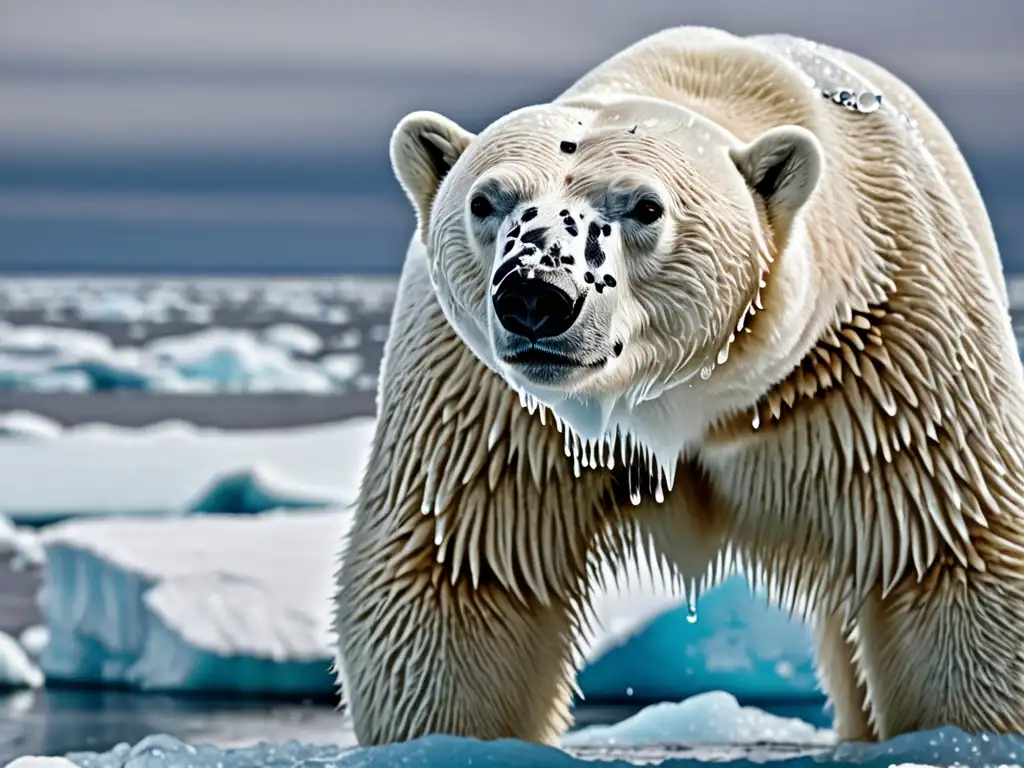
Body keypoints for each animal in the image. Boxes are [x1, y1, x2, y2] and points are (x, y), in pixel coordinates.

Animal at [333, 25, 1024, 745]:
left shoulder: (880, 366)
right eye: (483, 201)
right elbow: (463, 569)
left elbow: (945, 553)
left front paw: (961, 736)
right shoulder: (493, 403)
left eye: (645, 206)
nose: (536, 297)